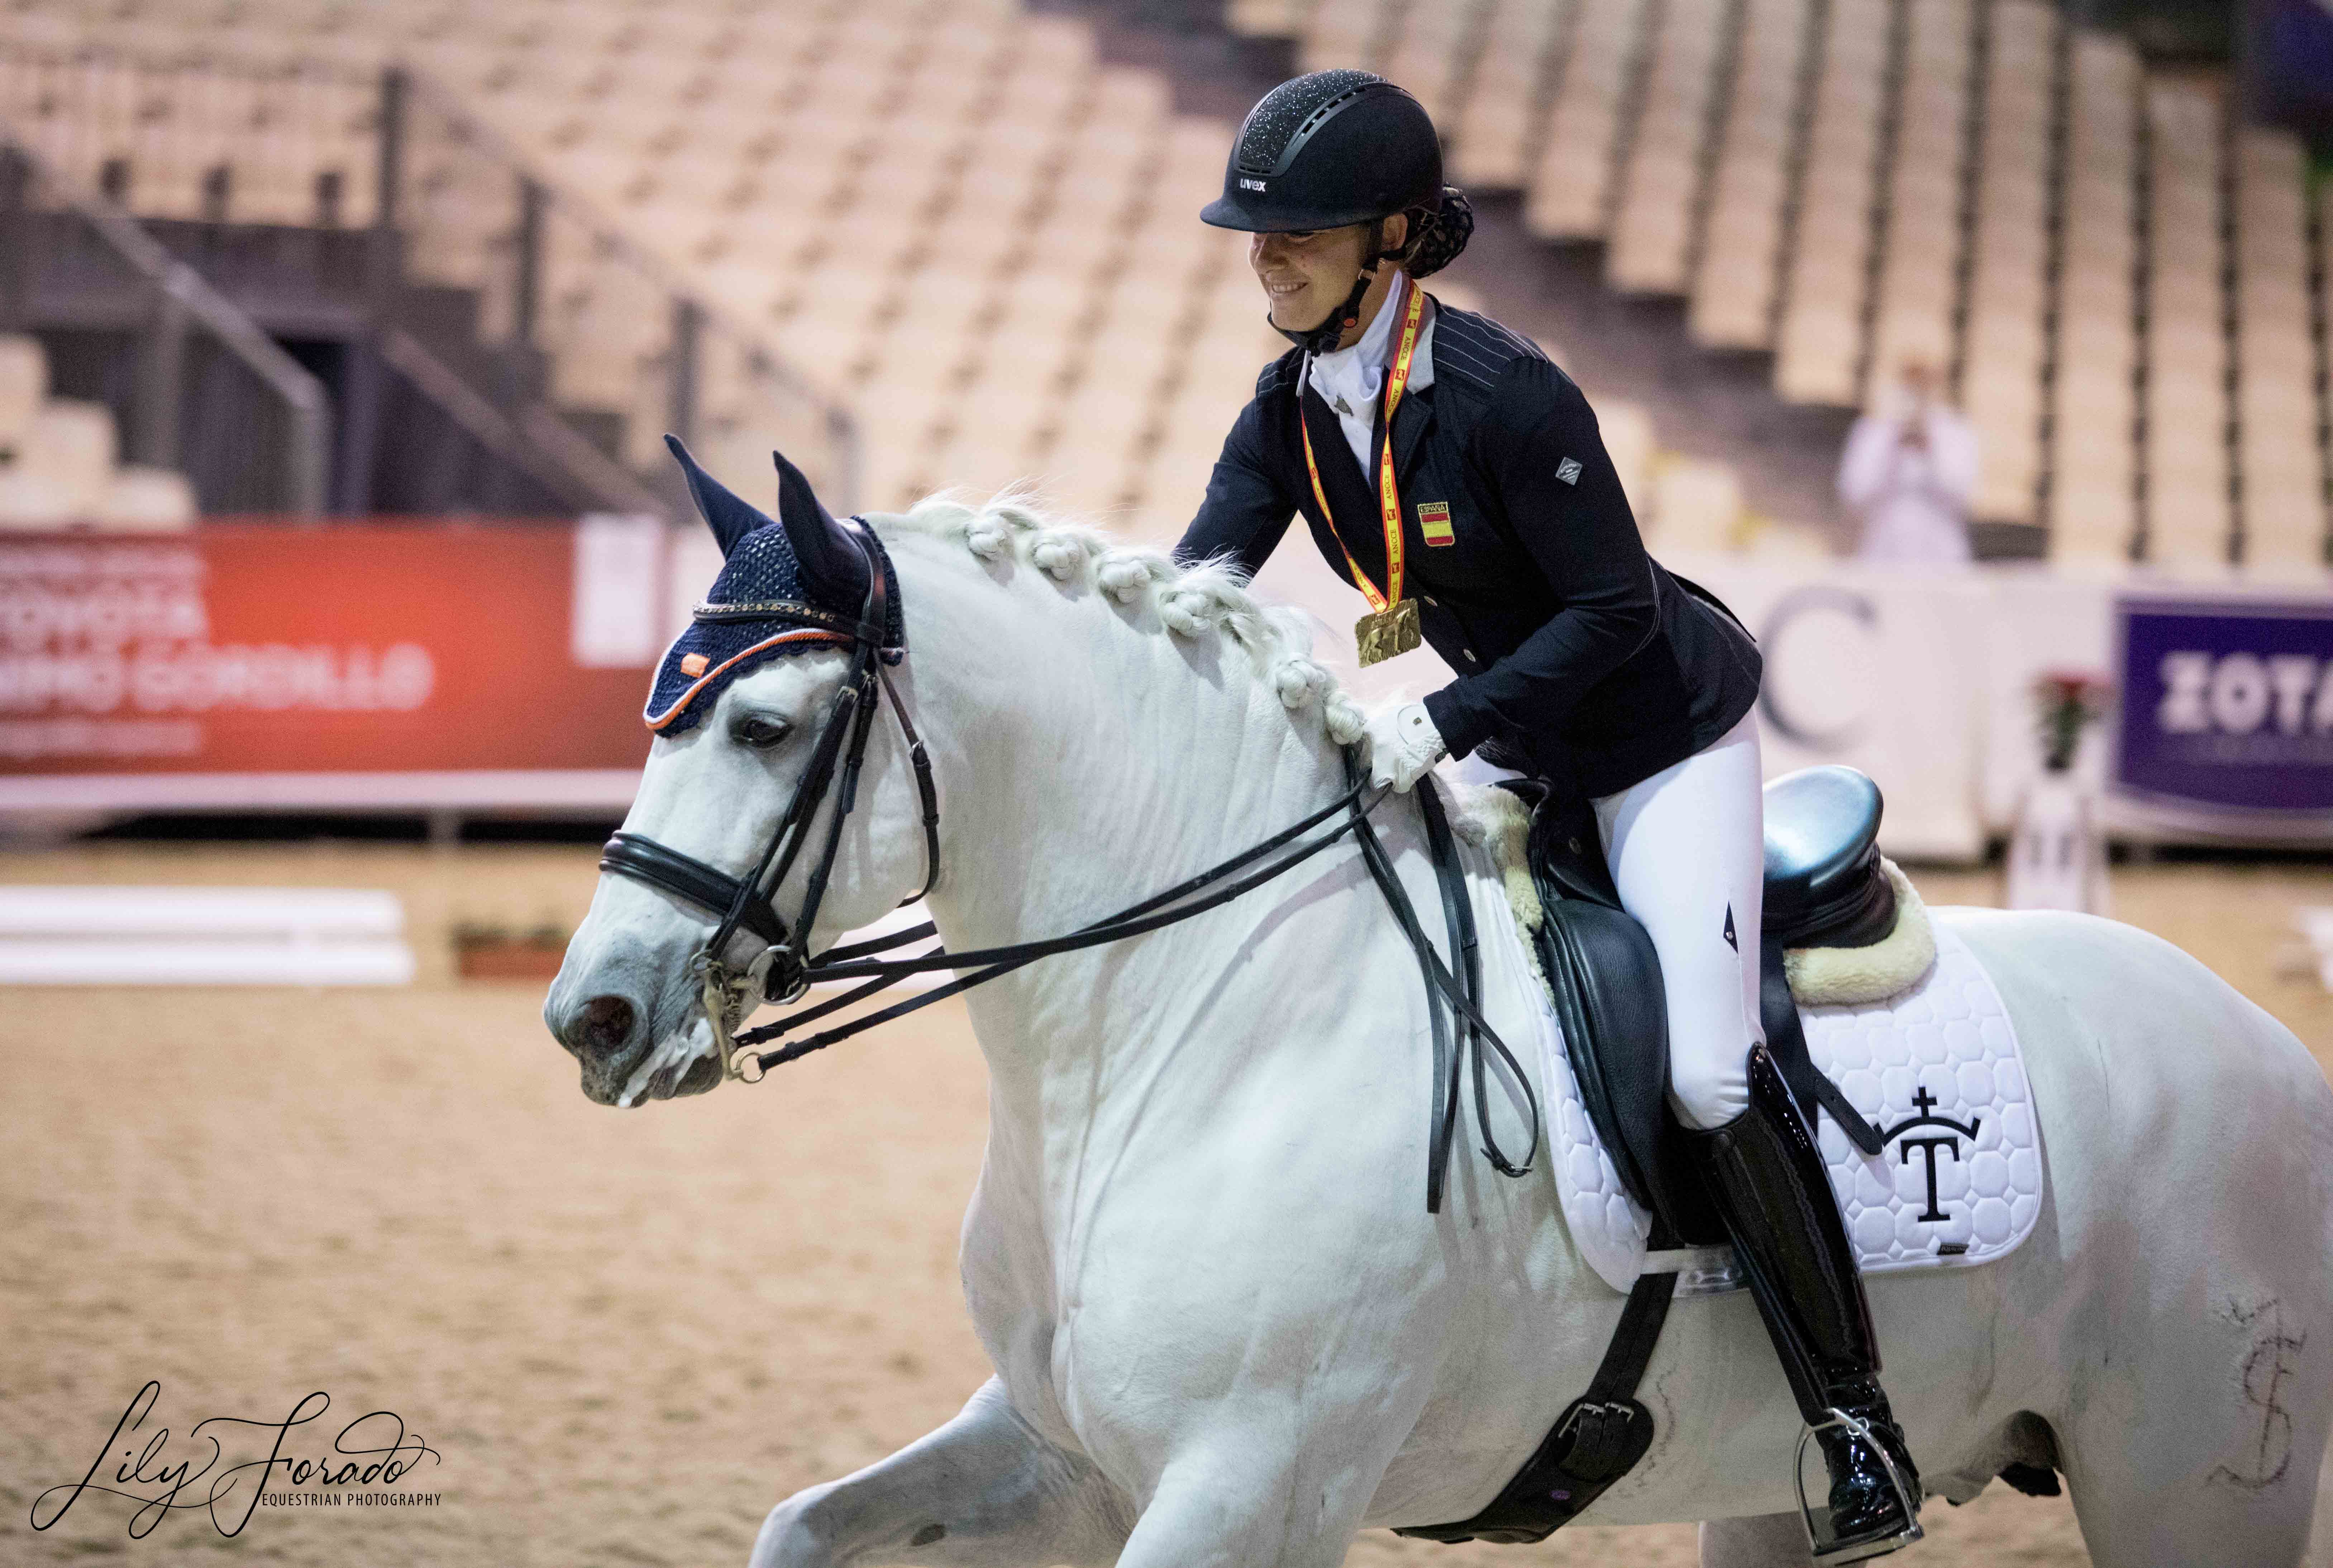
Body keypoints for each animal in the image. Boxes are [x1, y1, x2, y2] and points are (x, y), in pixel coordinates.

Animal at [550, 483, 2333, 1558]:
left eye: (767, 725)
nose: (594, 1014)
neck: (1184, 1028)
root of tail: (2267, 1049)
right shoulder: (1062, 1449)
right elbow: (803, 1520)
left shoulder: (1245, 1485)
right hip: (1779, 1494)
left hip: (2189, 1481)